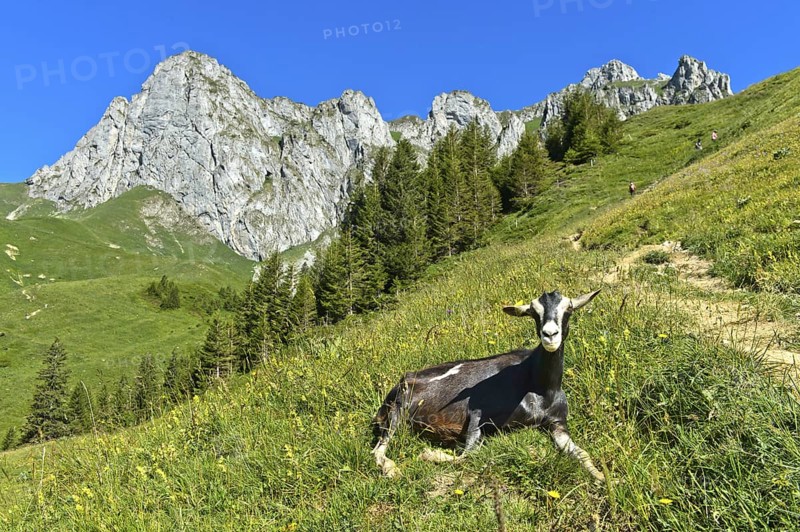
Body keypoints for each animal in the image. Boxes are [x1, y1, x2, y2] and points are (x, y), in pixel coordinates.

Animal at [372, 289, 604, 481]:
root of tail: (404, 378)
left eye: (569, 308)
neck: (540, 387)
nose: (550, 335)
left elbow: (582, 453)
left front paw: (602, 478)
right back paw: (392, 469)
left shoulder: (557, 423)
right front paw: (429, 454)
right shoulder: (478, 412)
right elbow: (467, 454)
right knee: (379, 448)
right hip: (397, 411)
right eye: (533, 312)